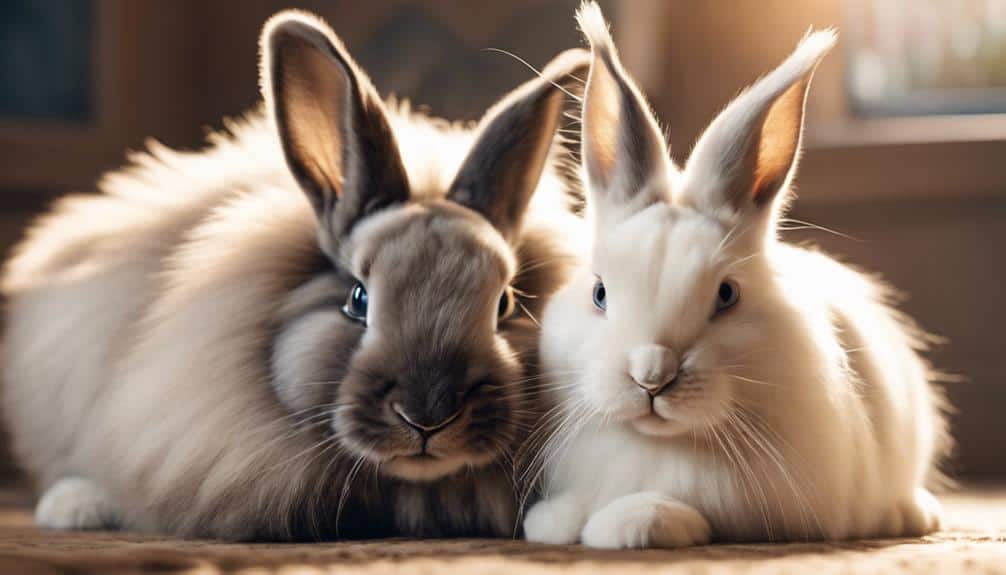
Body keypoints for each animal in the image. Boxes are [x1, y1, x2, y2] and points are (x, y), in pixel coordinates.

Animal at [522, 2, 950, 549]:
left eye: (726, 295)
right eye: (599, 293)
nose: (652, 376)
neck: (656, 445)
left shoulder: (757, 508)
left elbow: (676, 511)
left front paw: (627, 525)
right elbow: (560, 515)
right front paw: (554, 522)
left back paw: (911, 515)